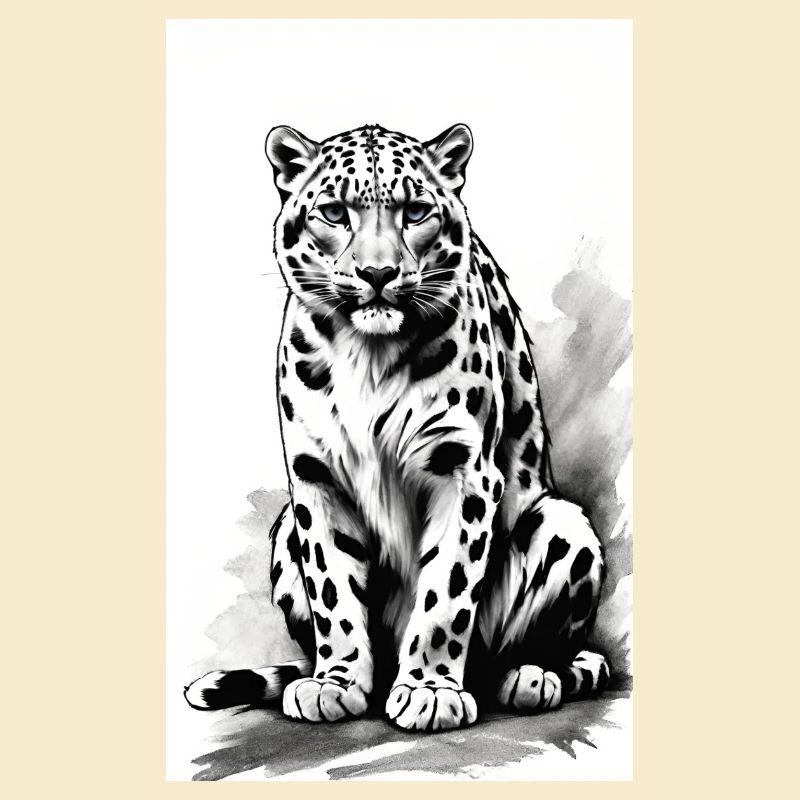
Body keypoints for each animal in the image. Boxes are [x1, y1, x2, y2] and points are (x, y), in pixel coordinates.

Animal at [184, 123, 610, 731]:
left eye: (415, 211)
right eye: (334, 212)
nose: (378, 273)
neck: (369, 356)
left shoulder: (464, 470)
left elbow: (446, 591)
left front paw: (430, 690)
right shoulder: (316, 477)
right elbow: (333, 587)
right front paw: (336, 683)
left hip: (562, 524)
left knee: (537, 647)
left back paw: (529, 676)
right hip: (286, 526)